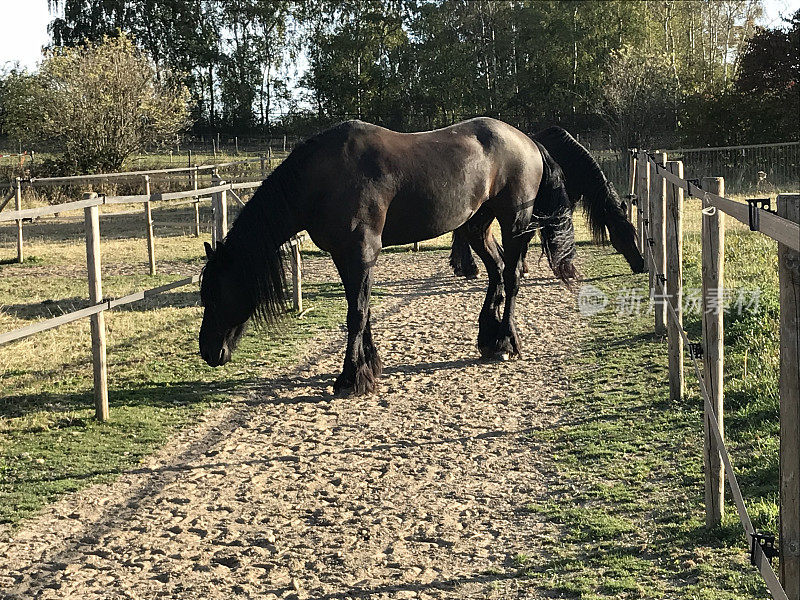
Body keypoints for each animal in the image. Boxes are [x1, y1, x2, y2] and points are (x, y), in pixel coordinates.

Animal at [198, 119, 576, 396]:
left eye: (217, 296)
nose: (209, 352)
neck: (323, 178)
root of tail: (528, 141)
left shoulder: (361, 252)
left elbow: (356, 312)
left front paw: (350, 378)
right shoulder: (346, 255)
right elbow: (361, 307)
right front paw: (369, 367)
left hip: (515, 224)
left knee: (511, 278)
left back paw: (506, 341)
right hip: (476, 225)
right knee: (496, 271)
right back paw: (488, 338)